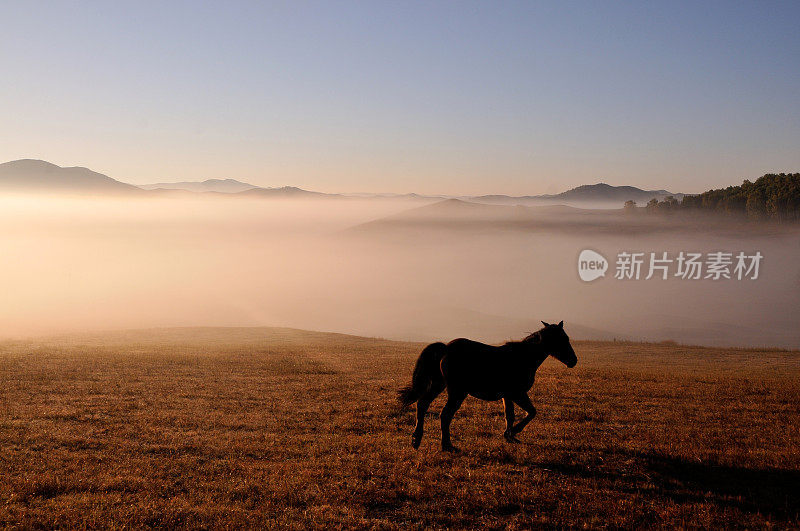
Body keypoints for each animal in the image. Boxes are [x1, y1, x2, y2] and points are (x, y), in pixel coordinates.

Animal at [398, 322, 576, 450]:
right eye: (563, 339)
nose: (574, 361)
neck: (523, 358)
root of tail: (446, 348)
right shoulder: (517, 394)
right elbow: (531, 412)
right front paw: (514, 431)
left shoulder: (507, 396)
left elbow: (509, 415)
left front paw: (509, 436)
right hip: (457, 392)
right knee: (445, 414)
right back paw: (447, 445)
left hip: (438, 385)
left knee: (422, 405)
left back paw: (416, 439)